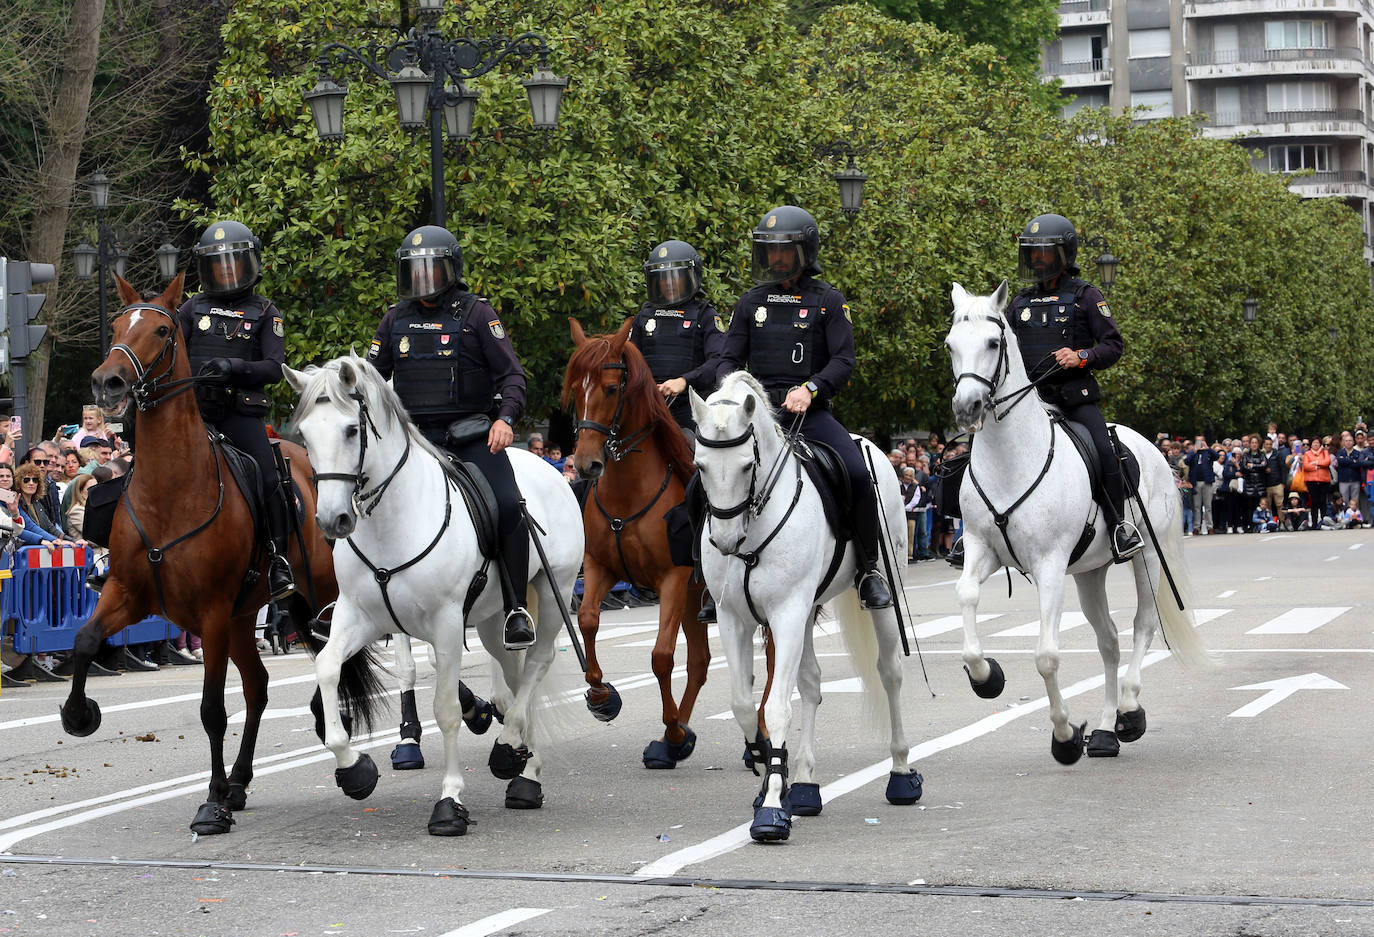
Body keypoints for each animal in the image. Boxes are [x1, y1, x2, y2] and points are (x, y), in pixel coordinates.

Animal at [61, 270, 368, 829]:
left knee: (327, 657)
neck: (170, 491)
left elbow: (211, 710)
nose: (108, 382)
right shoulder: (127, 594)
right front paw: (78, 714)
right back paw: (242, 780)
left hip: (312, 599)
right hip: (246, 617)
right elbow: (86, 640)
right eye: (115, 325)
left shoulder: (210, 612)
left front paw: (211, 801)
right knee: (259, 685)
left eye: (162, 331)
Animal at [284, 354, 585, 829]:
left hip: (554, 592)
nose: (332, 520)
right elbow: (328, 668)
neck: (391, 521)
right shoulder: (358, 617)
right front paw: (354, 769)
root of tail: (542, 465)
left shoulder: (445, 624)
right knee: (516, 680)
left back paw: (516, 760)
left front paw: (450, 801)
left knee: (537, 664)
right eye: (305, 437)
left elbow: (445, 710)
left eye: (351, 430)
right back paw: (522, 767)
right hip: (493, 620)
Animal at [560, 317, 714, 763]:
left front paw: (675, 731)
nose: (586, 464)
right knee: (700, 662)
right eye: (575, 390)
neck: (628, 491)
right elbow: (588, 619)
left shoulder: (673, 580)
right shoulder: (600, 568)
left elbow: (661, 657)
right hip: (693, 602)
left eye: (612, 389)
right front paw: (600, 696)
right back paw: (673, 742)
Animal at [687, 370, 923, 840]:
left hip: (878, 602)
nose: (725, 542)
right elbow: (745, 704)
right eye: (700, 466)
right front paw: (767, 772)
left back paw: (901, 775)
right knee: (812, 684)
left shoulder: (787, 613)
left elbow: (777, 707)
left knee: (890, 674)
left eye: (746, 465)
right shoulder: (734, 619)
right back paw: (805, 785)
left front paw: (771, 810)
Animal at [945, 278, 1214, 758]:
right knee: (1108, 640)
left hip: (1147, 557)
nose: (967, 406)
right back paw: (1106, 731)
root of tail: (1153, 449)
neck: (1010, 460)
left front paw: (1066, 736)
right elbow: (967, 598)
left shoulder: (1049, 565)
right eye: (950, 345)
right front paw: (987, 677)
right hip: (1090, 572)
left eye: (993, 342)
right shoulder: (981, 549)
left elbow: (1047, 656)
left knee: (1142, 625)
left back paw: (1129, 710)